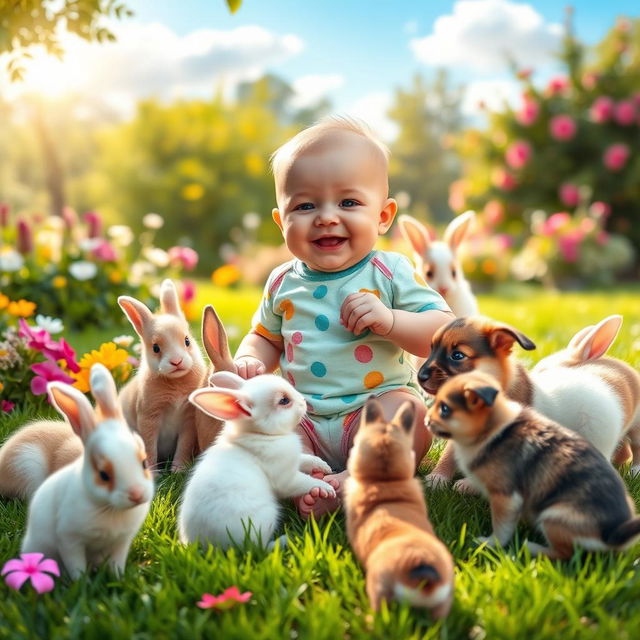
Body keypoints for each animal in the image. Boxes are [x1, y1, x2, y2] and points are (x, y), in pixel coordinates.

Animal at [21, 364, 154, 580]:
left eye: (144, 463)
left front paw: (118, 578)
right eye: (103, 475)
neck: (110, 508)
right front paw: (80, 582)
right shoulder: (69, 540)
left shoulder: (121, 542)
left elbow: (117, 563)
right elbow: (76, 566)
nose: (136, 494)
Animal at [115, 278, 205, 470]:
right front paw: (153, 472)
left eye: (187, 341)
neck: (176, 382)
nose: (176, 361)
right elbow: (149, 447)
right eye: (156, 348)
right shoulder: (149, 417)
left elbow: (184, 445)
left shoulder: (189, 421)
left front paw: (178, 469)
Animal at [178, 372, 338, 548]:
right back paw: (285, 540)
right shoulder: (287, 479)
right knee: (260, 548)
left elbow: (305, 460)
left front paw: (323, 466)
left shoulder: (293, 461)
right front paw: (326, 488)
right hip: (266, 518)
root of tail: (203, 545)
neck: (261, 435)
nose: (304, 401)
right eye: (284, 401)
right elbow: (305, 482)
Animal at [424, 372, 640, 556]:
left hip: (554, 516)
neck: (495, 429)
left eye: (444, 409)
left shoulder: (506, 497)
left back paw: (531, 547)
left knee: (564, 553)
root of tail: (614, 534)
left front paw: (487, 543)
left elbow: (501, 527)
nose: (425, 420)